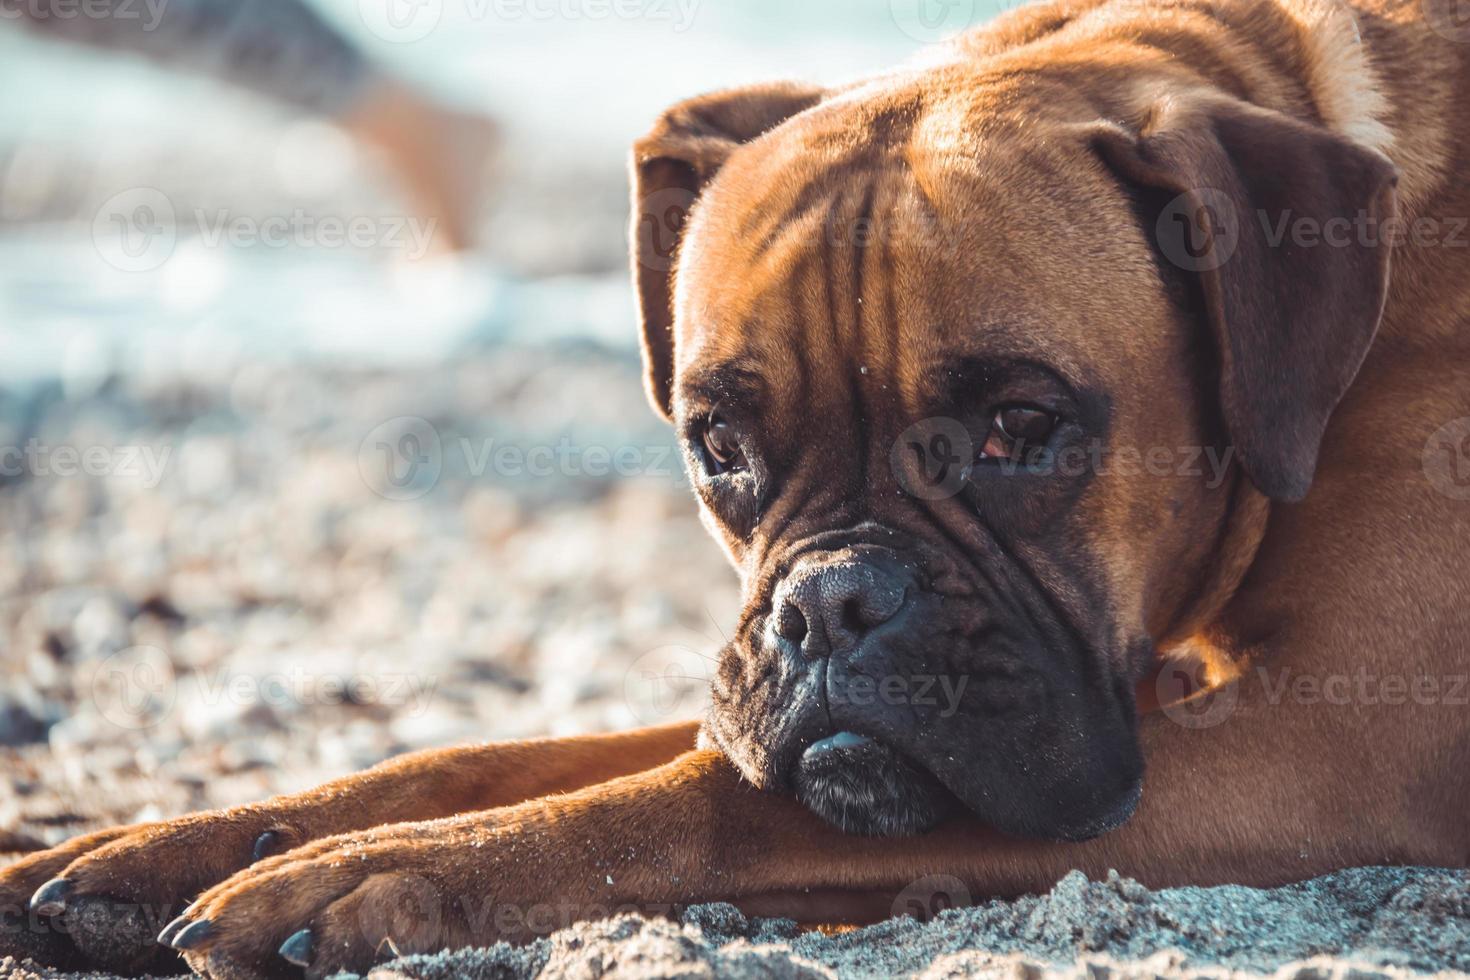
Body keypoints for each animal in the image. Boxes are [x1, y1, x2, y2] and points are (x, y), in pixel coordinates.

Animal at [2, 0, 1470, 975]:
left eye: (1020, 424)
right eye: (717, 441)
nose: (830, 604)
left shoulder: (1317, 743)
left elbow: (683, 803)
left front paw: (375, 871)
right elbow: (493, 754)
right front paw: (172, 843)